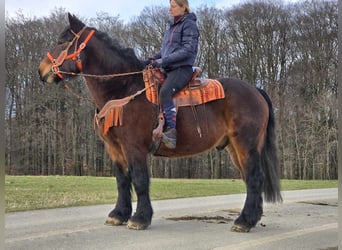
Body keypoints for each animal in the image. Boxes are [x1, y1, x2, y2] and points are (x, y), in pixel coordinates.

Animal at [38, 13, 282, 232]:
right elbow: (122, 180)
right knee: (250, 178)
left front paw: (140, 218)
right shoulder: (115, 148)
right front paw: (119, 214)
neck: (124, 88)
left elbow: (139, 180)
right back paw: (251, 218)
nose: (42, 70)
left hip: (245, 144)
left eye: (63, 41)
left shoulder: (134, 147)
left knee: (254, 177)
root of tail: (256, 91)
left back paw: (244, 221)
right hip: (234, 147)